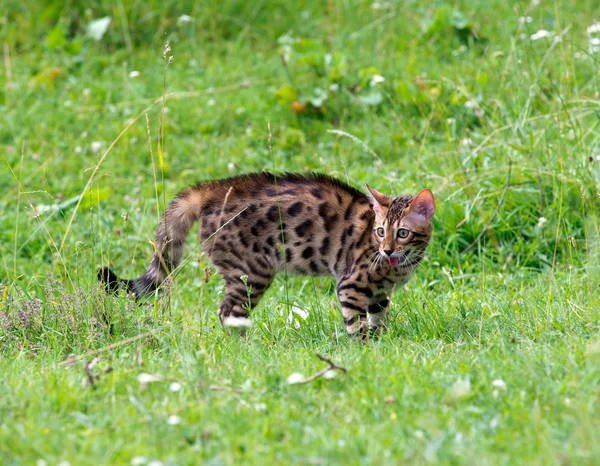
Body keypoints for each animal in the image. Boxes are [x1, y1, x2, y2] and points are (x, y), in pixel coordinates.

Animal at [99, 173, 436, 340]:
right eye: (380, 231)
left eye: (401, 233)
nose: (387, 249)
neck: (398, 267)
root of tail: (211, 189)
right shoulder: (350, 285)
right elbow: (357, 324)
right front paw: (365, 349)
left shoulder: (380, 295)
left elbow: (379, 321)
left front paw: (382, 345)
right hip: (251, 274)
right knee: (227, 313)